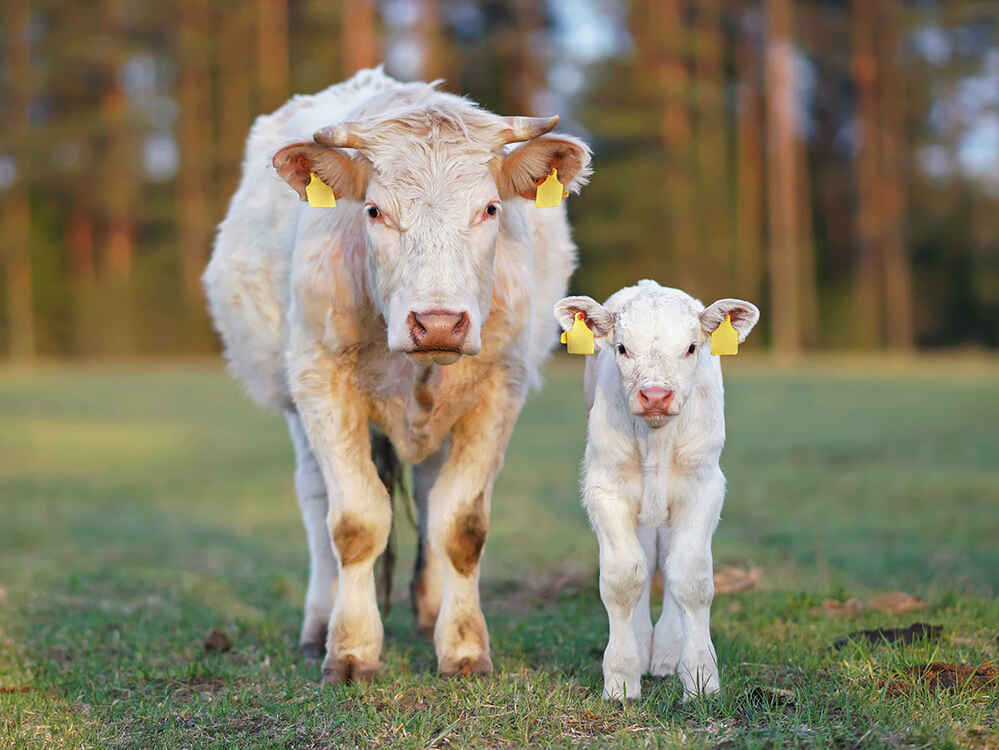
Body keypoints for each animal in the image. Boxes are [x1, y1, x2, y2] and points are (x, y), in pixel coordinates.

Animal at [204, 70, 592, 688]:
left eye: (490, 208)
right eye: (373, 211)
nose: (438, 322)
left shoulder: (499, 389)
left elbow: (461, 525)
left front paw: (462, 647)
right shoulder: (319, 380)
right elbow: (356, 522)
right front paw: (350, 650)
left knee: (433, 497)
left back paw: (431, 609)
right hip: (294, 402)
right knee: (316, 499)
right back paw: (319, 624)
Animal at [556, 280, 756, 704]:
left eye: (691, 347)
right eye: (621, 347)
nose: (655, 395)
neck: (656, 441)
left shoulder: (704, 486)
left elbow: (690, 577)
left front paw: (700, 679)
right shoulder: (604, 488)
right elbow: (623, 577)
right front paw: (621, 679)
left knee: (666, 557)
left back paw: (664, 651)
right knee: (646, 559)